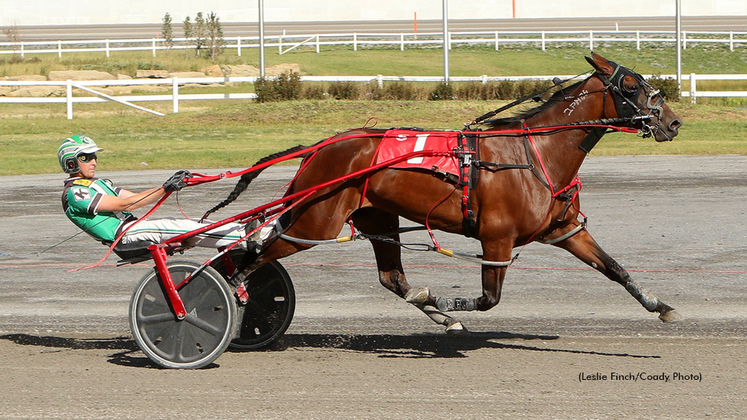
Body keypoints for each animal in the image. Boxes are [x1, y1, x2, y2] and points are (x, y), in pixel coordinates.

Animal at [207, 53, 680, 334]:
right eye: (632, 86)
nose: (672, 122)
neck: (535, 153)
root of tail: (322, 146)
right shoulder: (497, 238)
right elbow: (489, 299)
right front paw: (447, 301)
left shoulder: (564, 230)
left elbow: (615, 268)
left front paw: (660, 304)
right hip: (315, 221)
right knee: (251, 255)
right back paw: (228, 296)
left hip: (374, 216)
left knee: (391, 277)